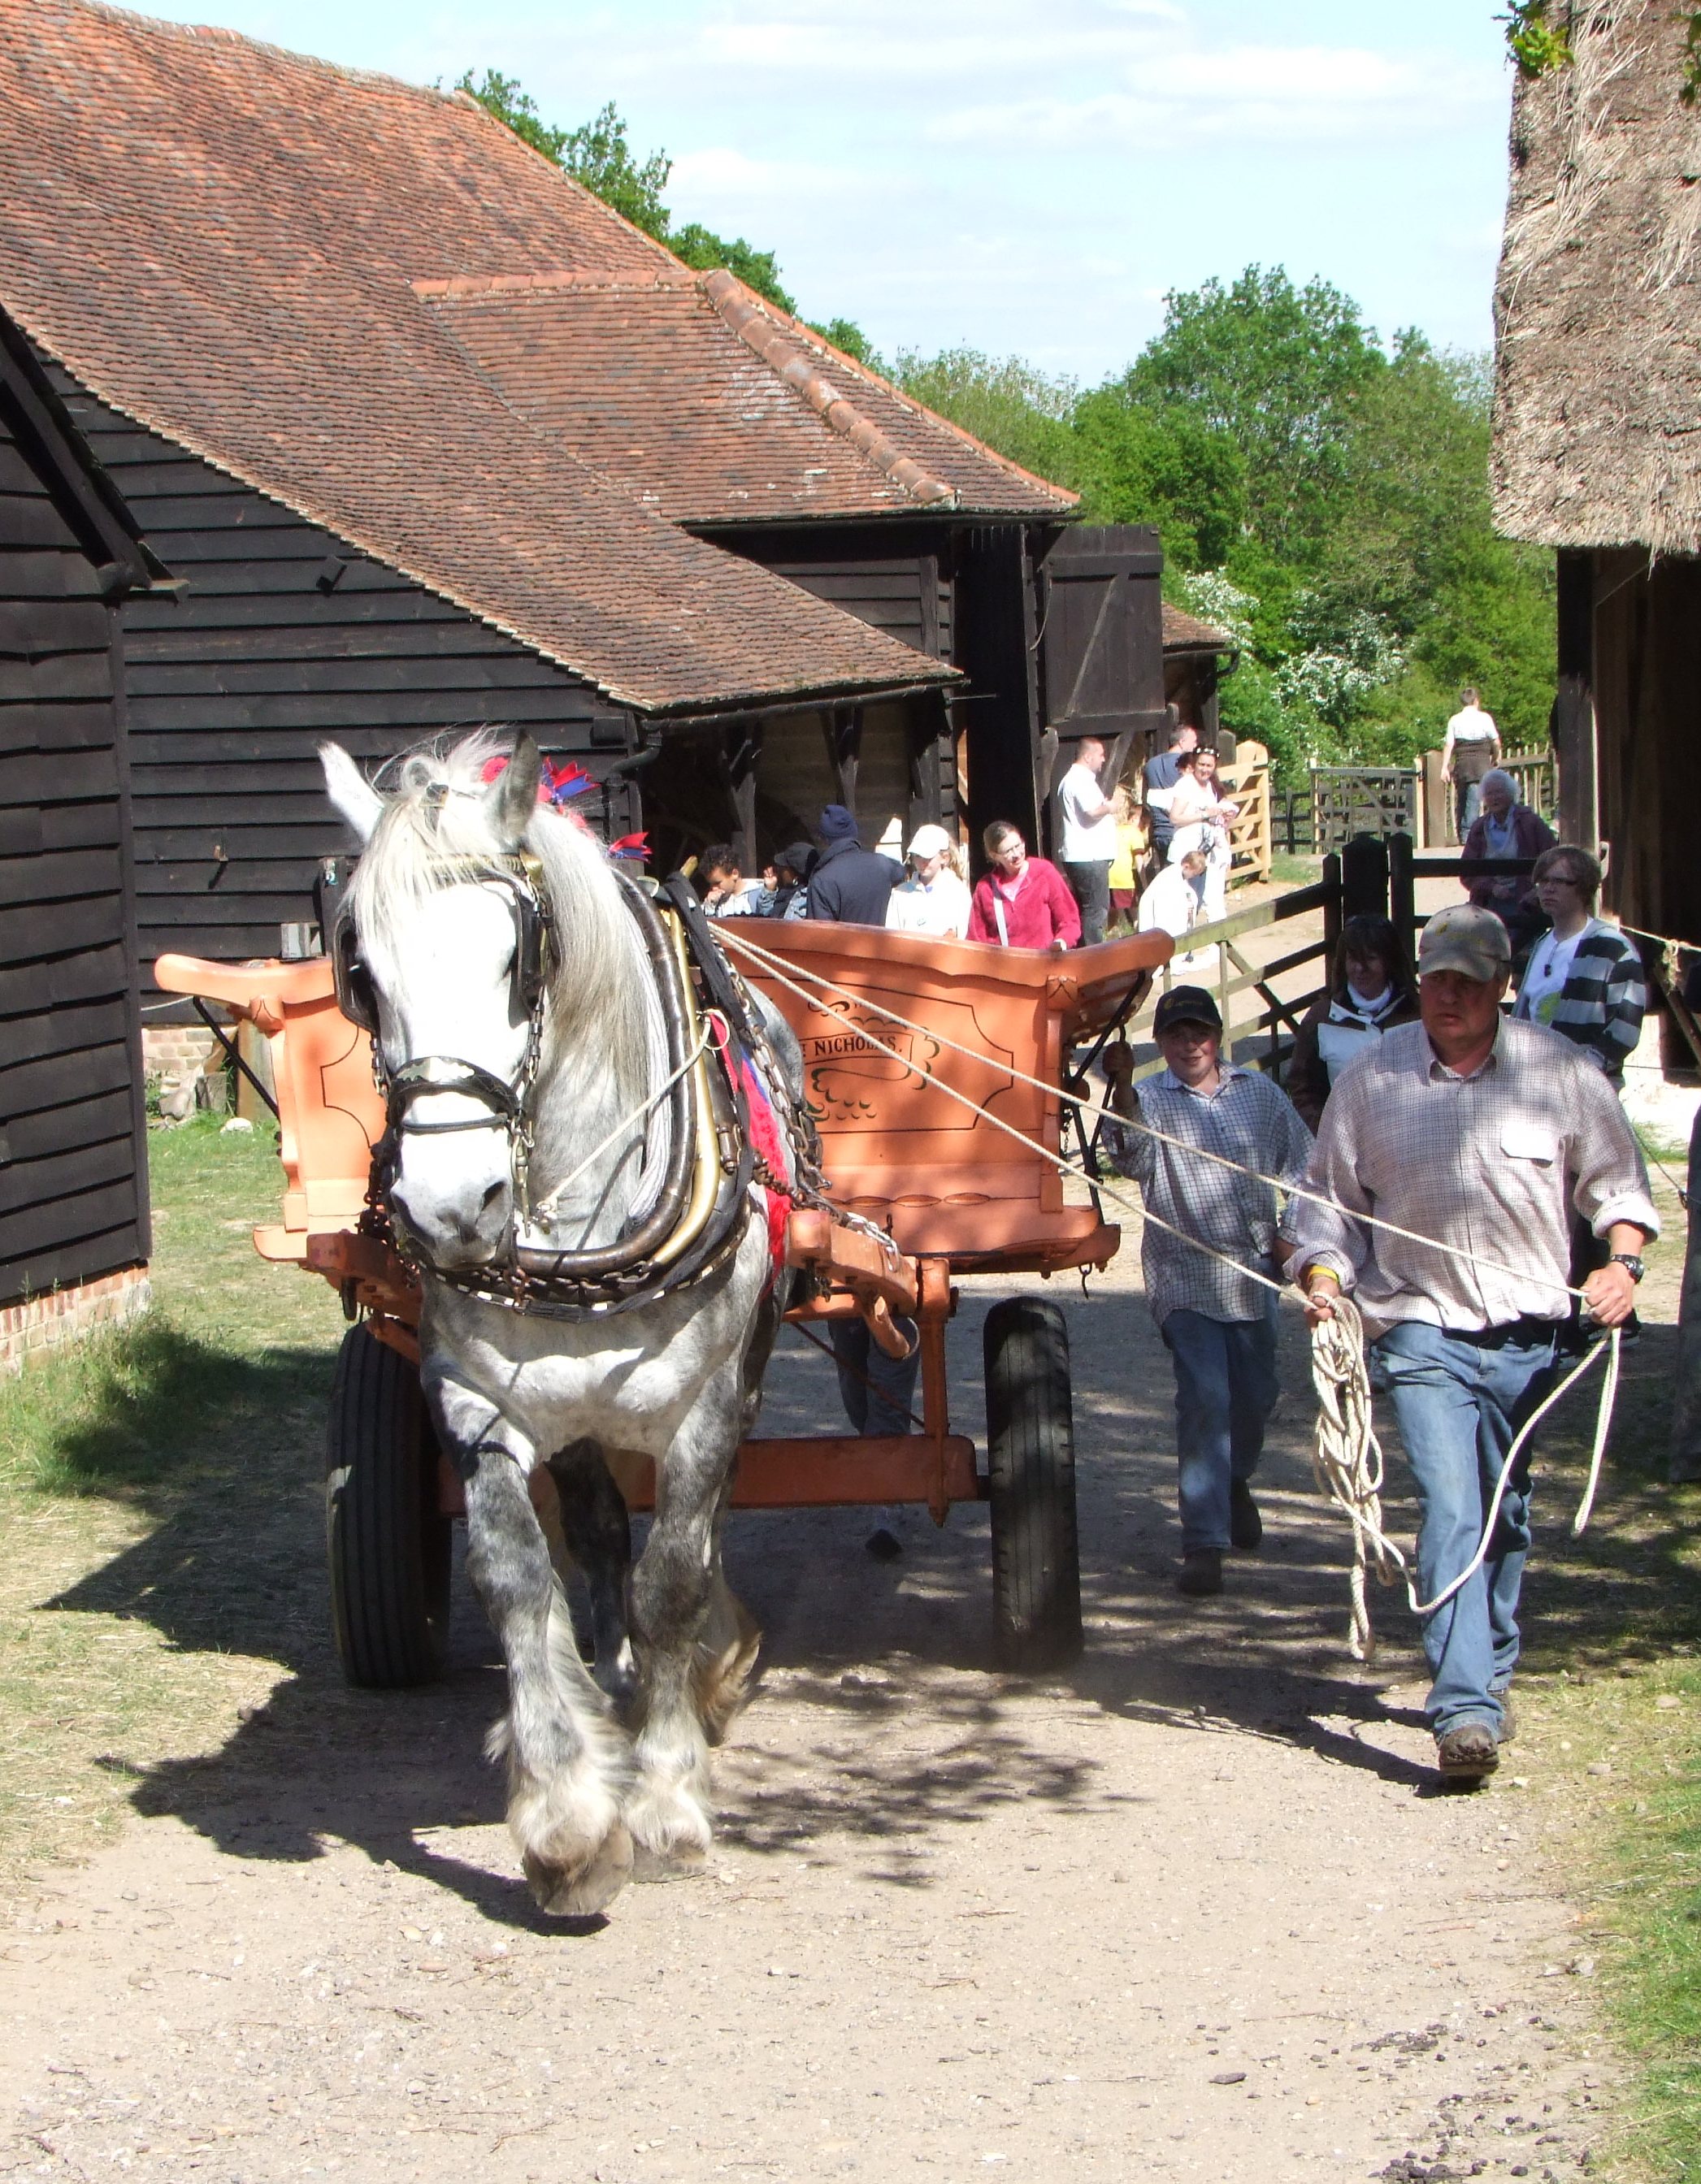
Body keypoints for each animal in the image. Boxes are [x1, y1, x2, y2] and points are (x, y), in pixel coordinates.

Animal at [319, 729, 802, 1916]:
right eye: (361, 973)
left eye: (516, 960)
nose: (451, 1207)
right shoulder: (472, 1396)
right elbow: (516, 1572)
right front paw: (568, 1814)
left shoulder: (707, 1398)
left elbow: (675, 1577)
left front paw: (666, 1797)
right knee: (594, 1533)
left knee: (683, 1541)